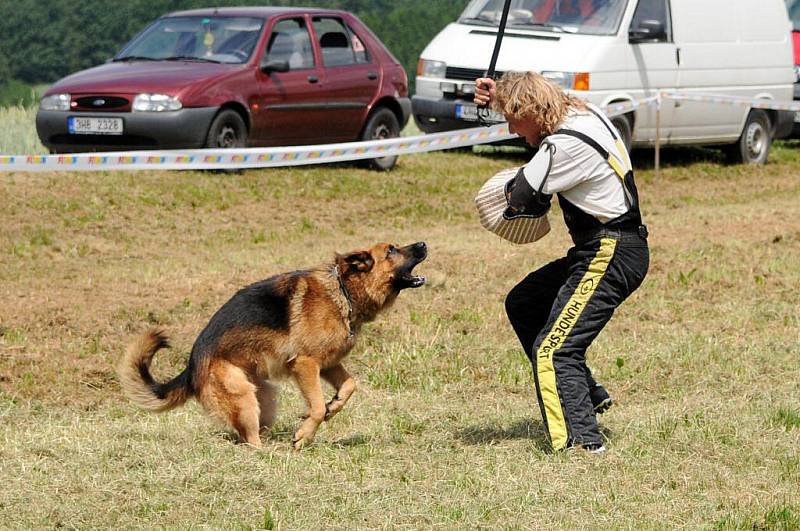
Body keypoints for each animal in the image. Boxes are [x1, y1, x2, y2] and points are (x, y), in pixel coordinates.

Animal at [116, 242, 428, 448]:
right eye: (391, 250)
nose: (423, 244)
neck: (343, 291)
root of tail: (192, 366)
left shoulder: (328, 364)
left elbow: (350, 385)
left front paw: (334, 406)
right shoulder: (305, 364)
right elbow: (316, 406)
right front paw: (304, 435)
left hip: (264, 397)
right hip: (243, 396)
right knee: (250, 440)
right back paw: (268, 454)